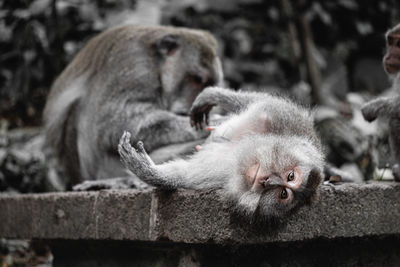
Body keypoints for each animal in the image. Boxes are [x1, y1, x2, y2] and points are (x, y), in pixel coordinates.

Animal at [117, 87, 324, 222]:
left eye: (283, 193)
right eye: (291, 176)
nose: (268, 181)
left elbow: (184, 175)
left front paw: (147, 170)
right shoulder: (287, 120)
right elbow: (259, 103)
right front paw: (212, 95)